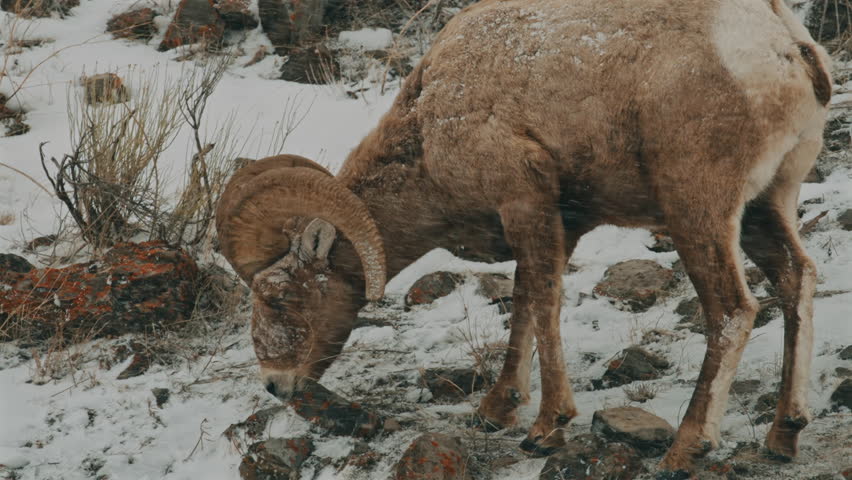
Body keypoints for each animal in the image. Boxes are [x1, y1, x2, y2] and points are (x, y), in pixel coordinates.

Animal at [215, 0, 831, 474]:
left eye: (277, 296)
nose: (276, 386)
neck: (430, 124)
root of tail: (785, 46)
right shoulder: (558, 223)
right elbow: (526, 304)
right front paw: (498, 410)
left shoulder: (526, 203)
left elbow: (543, 305)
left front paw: (545, 429)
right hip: (765, 207)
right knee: (796, 279)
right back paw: (784, 435)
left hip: (698, 210)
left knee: (731, 310)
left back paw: (685, 450)